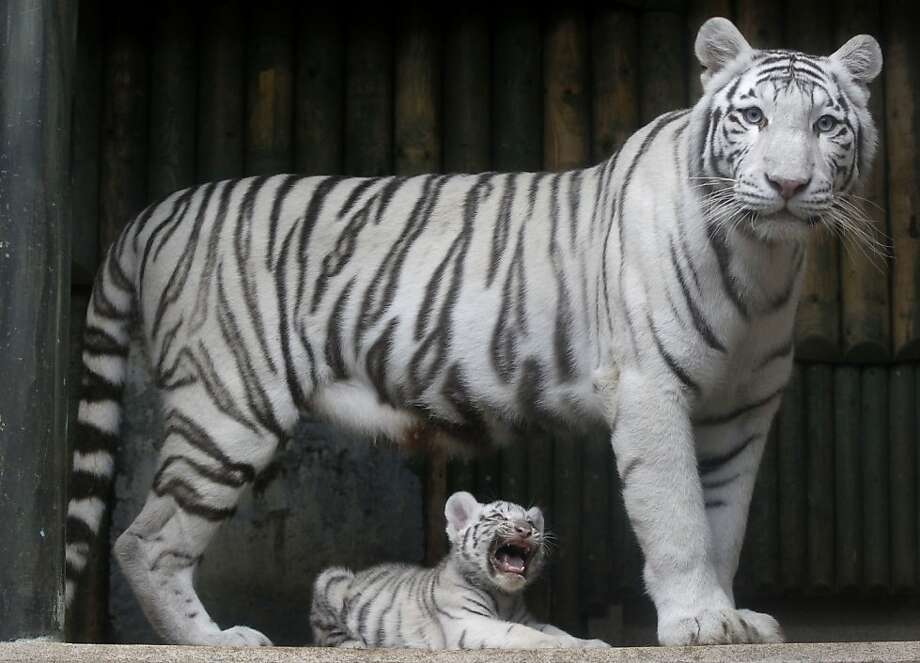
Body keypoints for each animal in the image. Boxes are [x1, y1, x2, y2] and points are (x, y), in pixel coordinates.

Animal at [310, 491, 608, 649]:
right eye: (498, 517)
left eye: (531, 523)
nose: (525, 529)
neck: (504, 595)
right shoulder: (468, 622)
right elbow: (522, 633)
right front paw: (567, 646)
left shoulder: (526, 618)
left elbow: (553, 629)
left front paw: (590, 643)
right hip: (330, 578)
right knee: (325, 633)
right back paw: (355, 644)